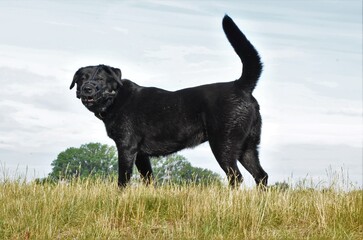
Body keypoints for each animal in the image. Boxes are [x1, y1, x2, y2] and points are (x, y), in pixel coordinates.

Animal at [71, 15, 268, 188]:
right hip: (247, 148)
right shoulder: (141, 155)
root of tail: (240, 85)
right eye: (81, 79)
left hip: (224, 145)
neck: (117, 98)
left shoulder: (126, 147)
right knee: (261, 176)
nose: (87, 88)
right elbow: (149, 179)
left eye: (100, 79)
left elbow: (123, 180)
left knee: (236, 177)